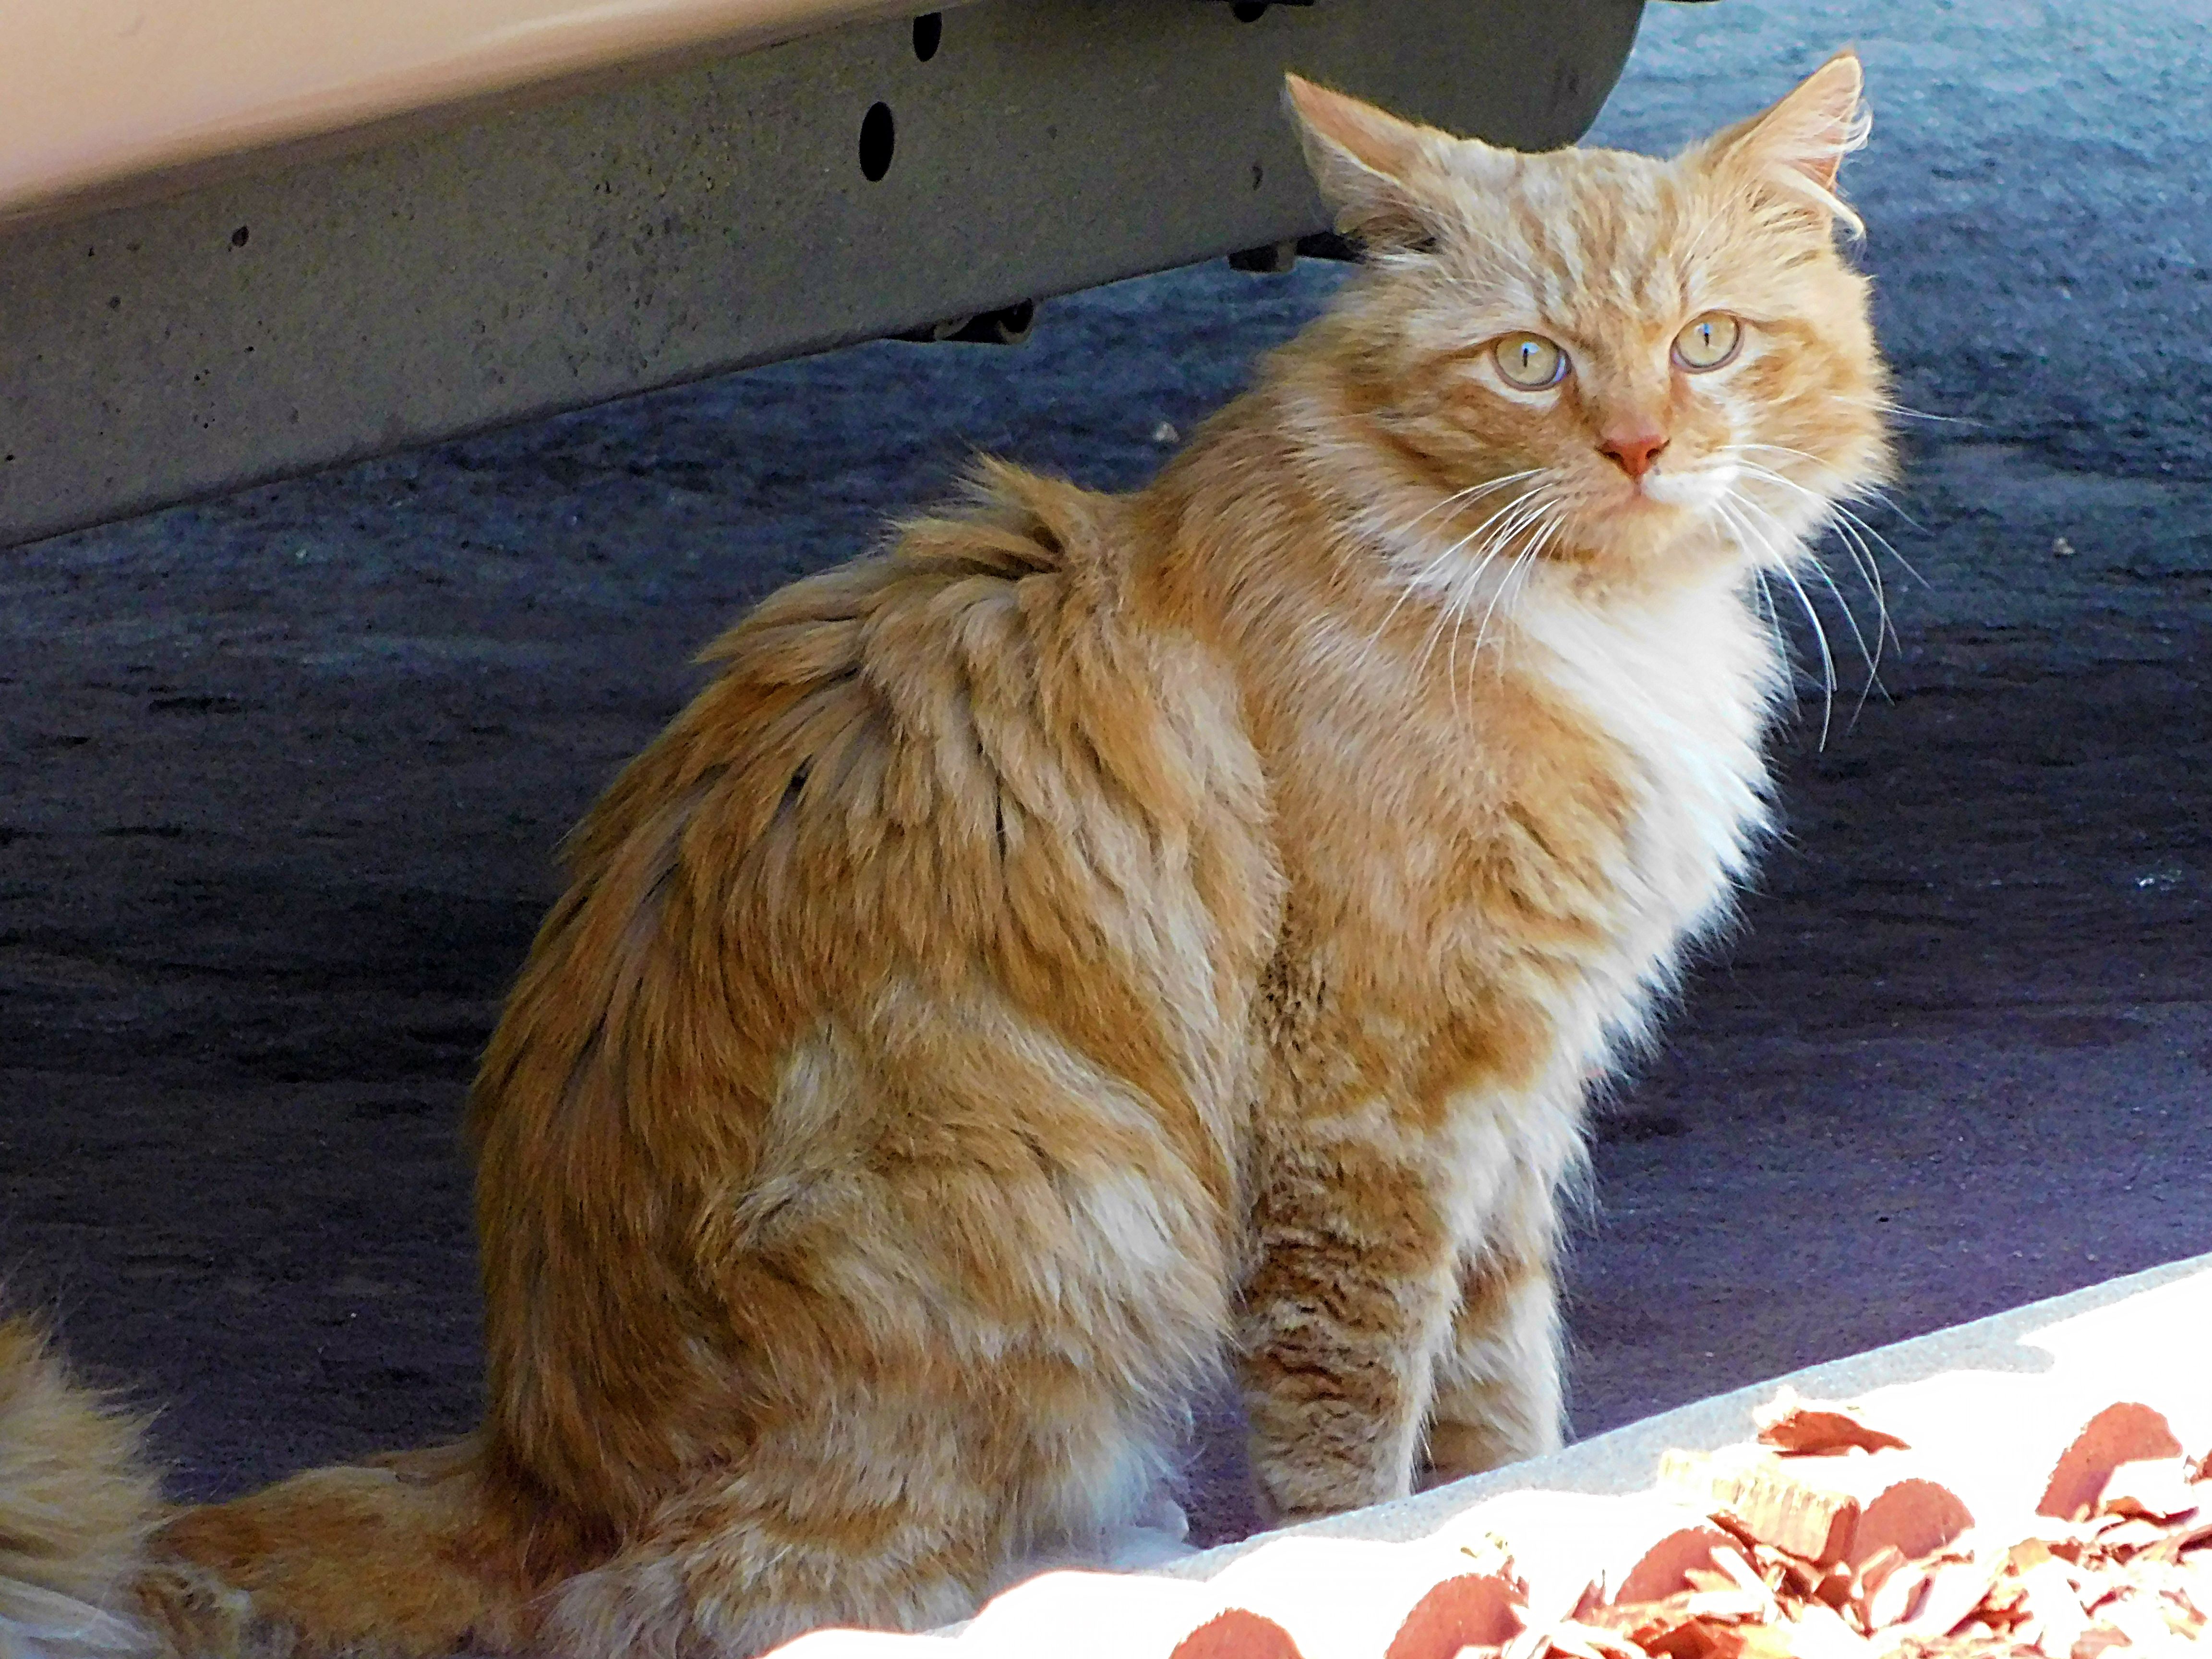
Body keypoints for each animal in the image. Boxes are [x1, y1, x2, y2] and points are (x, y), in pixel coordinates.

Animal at [0, 52, 1885, 1659]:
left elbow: (1502, 1387)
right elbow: (1353, 1413)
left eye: (1708, 343)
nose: (1639, 447)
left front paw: (1515, 1515)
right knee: (724, 1606)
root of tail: (537, 1462)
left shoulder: (1509, 1097)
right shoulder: (1372, 1099)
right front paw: (1367, 1552)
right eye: (1531, 364)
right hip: (1047, 1197)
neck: (1588, 621)